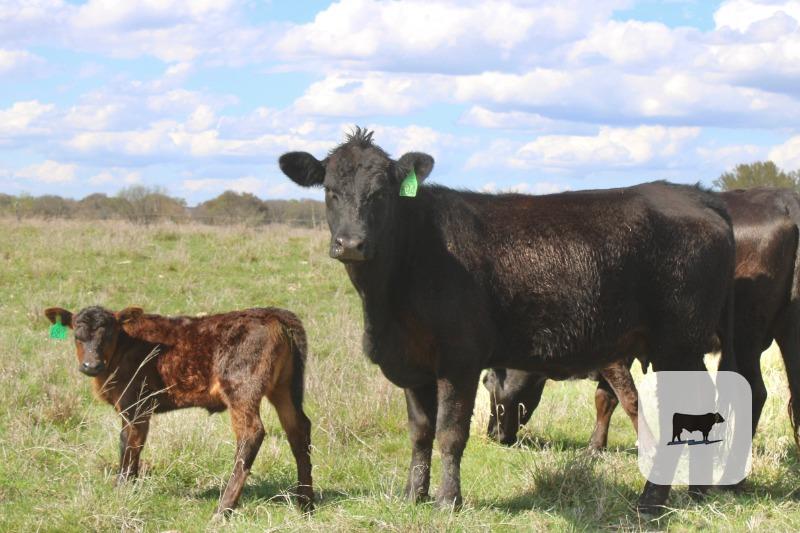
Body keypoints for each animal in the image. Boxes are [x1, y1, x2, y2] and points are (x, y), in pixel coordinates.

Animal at [43, 306, 314, 516]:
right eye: (77, 335)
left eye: (108, 335)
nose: (91, 365)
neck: (124, 346)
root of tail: (272, 313)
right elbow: (131, 445)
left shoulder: (135, 404)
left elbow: (128, 446)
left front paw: (121, 489)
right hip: (284, 388)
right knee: (298, 430)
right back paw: (305, 504)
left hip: (242, 389)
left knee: (251, 433)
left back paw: (223, 509)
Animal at [278, 128, 736, 514]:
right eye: (331, 192)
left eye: (380, 194)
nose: (351, 243)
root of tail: (693, 195)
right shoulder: (412, 360)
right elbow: (420, 431)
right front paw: (413, 495)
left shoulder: (459, 357)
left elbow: (449, 432)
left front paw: (448, 500)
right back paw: (697, 490)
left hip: (678, 343)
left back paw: (653, 499)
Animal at [484, 187, 800, 452]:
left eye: (487, 382)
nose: (492, 434)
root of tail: (785, 199)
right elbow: (606, 398)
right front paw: (595, 446)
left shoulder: (612, 355)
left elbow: (629, 399)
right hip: (786, 331)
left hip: (746, 335)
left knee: (754, 392)